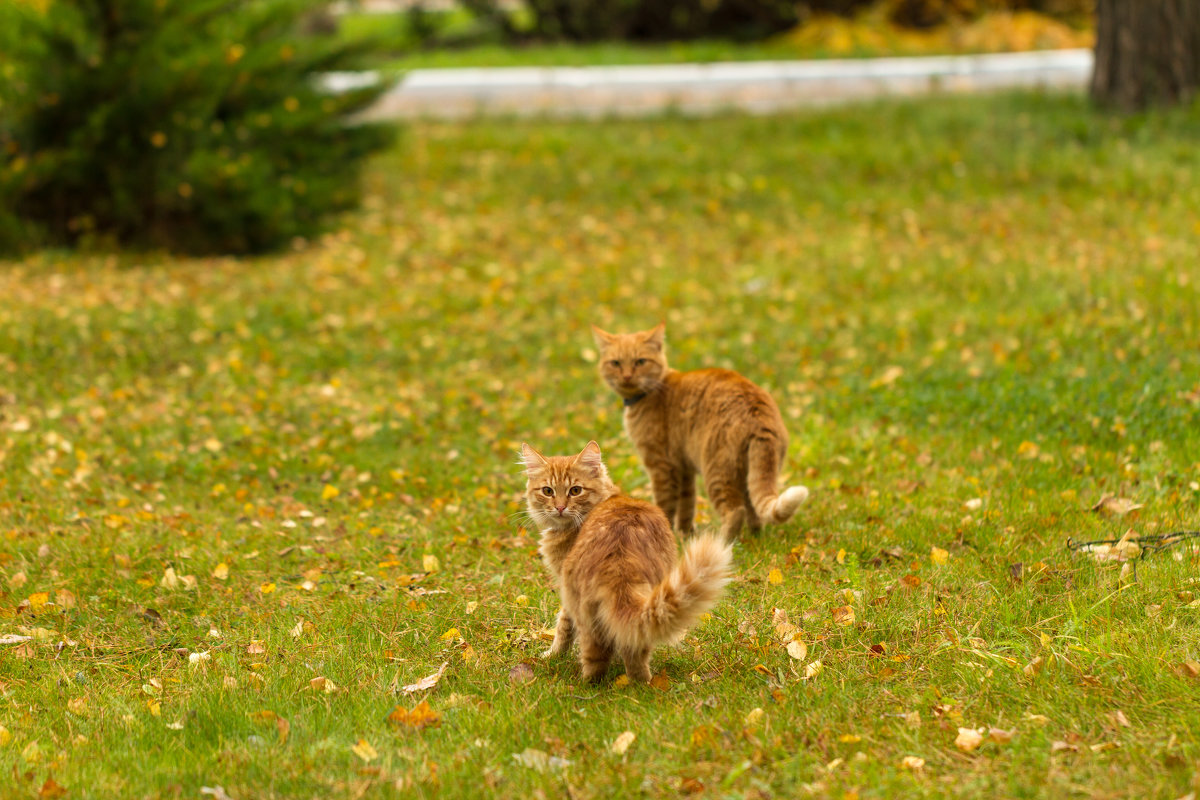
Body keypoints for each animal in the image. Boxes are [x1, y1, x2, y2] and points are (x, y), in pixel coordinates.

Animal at [523, 441, 729, 686]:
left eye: (575, 490)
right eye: (548, 491)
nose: (560, 508)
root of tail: (619, 564)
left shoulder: (566, 593)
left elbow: (563, 627)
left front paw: (553, 655)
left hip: (584, 607)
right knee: (625, 650)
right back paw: (634, 685)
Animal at [588, 321, 806, 542]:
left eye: (640, 361)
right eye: (616, 363)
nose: (627, 376)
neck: (650, 394)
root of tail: (758, 413)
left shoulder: (661, 466)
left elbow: (666, 505)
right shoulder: (684, 467)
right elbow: (687, 505)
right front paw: (684, 534)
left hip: (716, 473)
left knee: (736, 512)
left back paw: (722, 542)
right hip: (746, 474)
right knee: (754, 512)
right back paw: (755, 539)